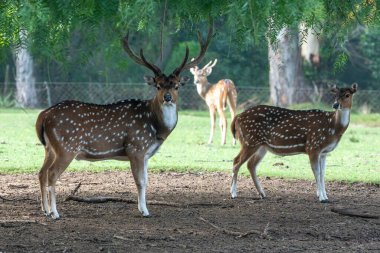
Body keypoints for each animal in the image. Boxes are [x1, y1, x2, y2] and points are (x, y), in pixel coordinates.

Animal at [35, 26, 212, 218]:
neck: (157, 128)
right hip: (66, 147)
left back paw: (45, 210)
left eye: (177, 85)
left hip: (50, 147)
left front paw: (143, 208)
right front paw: (144, 211)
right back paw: (55, 213)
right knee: (52, 173)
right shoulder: (136, 147)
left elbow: (147, 181)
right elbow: (139, 181)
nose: (167, 97)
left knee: (41, 172)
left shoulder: (146, 154)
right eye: (157, 85)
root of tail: (43, 115)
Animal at [230, 84, 358, 203]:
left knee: (250, 164)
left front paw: (326, 197)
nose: (335, 105)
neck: (333, 128)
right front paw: (321, 198)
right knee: (236, 161)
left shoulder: (324, 152)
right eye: (335, 95)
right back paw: (233, 193)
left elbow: (322, 174)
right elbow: (316, 172)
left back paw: (262, 193)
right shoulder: (313, 146)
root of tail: (237, 117)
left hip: (262, 146)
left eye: (347, 95)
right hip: (249, 141)